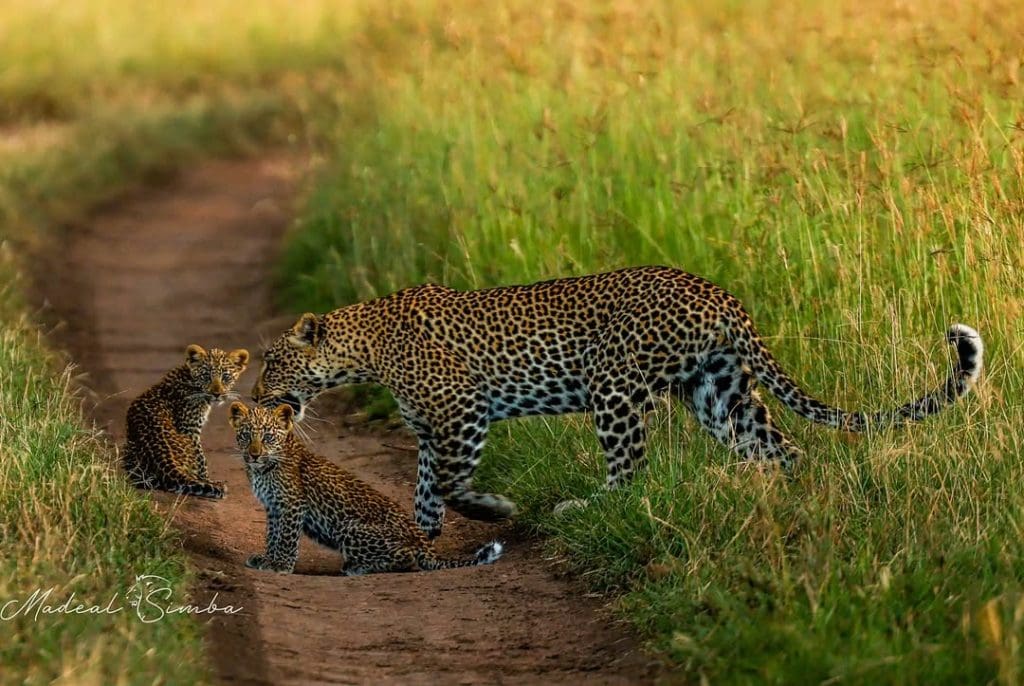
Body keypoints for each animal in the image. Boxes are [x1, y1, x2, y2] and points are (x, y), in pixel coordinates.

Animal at [122, 344, 249, 499]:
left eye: (226, 377)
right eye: (206, 376)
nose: (217, 394)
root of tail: (165, 461)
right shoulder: (190, 430)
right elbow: (201, 458)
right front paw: (207, 479)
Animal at [228, 402, 503, 575]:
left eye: (268, 437)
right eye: (245, 435)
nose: (254, 454)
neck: (262, 469)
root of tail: (424, 542)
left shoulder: (291, 504)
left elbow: (286, 538)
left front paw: (280, 566)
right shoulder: (274, 506)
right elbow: (272, 535)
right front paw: (266, 559)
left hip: (350, 528)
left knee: (408, 558)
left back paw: (357, 567)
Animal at [251, 265, 984, 539]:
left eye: (272, 364)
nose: (255, 397)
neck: (364, 349)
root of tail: (721, 295)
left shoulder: (461, 418)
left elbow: (452, 485)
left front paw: (494, 510)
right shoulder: (435, 434)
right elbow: (427, 489)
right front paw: (420, 538)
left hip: (617, 389)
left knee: (632, 475)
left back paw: (584, 508)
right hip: (718, 391)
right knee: (782, 451)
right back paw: (780, 505)